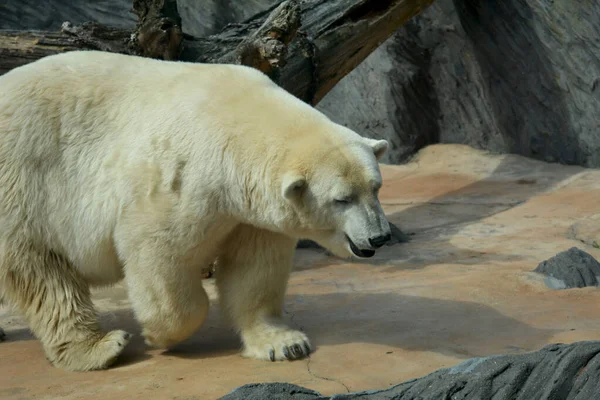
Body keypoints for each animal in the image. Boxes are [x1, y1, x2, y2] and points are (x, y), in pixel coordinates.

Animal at [0, 50, 392, 372]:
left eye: (375, 187)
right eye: (341, 199)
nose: (380, 236)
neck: (234, 120)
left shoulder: (252, 213)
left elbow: (255, 268)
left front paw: (284, 343)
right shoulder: (184, 178)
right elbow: (156, 250)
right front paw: (159, 335)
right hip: (23, 183)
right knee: (41, 272)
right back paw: (102, 347)